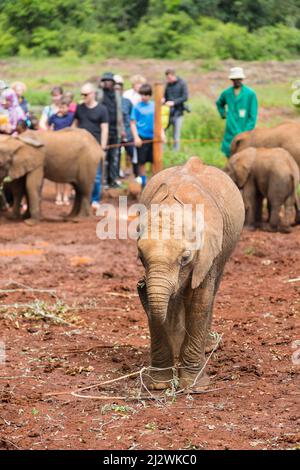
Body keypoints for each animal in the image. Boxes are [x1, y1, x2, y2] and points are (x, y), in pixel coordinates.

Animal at [137, 156, 245, 392]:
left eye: (185, 258)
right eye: (140, 257)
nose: (140, 284)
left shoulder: (208, 250)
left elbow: (199, 301)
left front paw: (195, 386)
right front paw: (160, 385)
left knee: (211, 291)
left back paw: (206, 347)